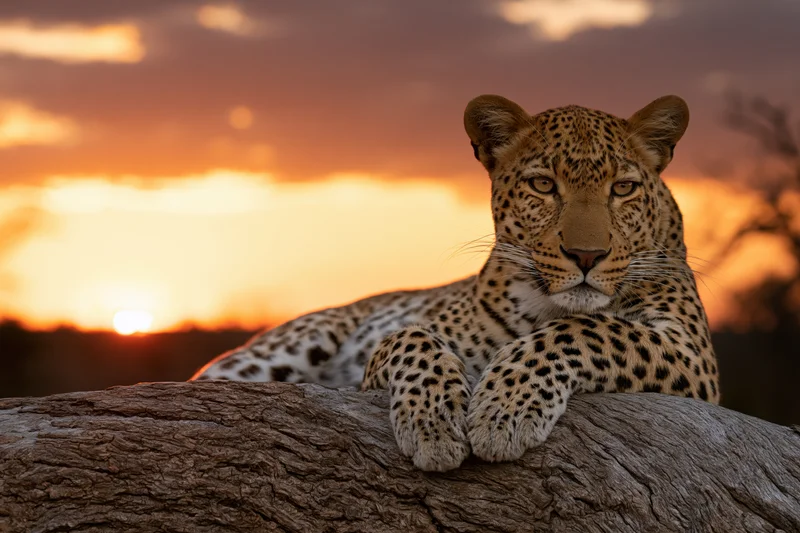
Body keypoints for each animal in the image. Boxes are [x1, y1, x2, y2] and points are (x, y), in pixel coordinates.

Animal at [192, 93, 719, 472]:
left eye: (623, 188)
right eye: (543, 185)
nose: (587, 255)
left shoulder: (693, 354)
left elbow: (586, 331)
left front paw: (504, 411)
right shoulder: (386, 357)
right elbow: (410, 338)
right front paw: (434, 425)